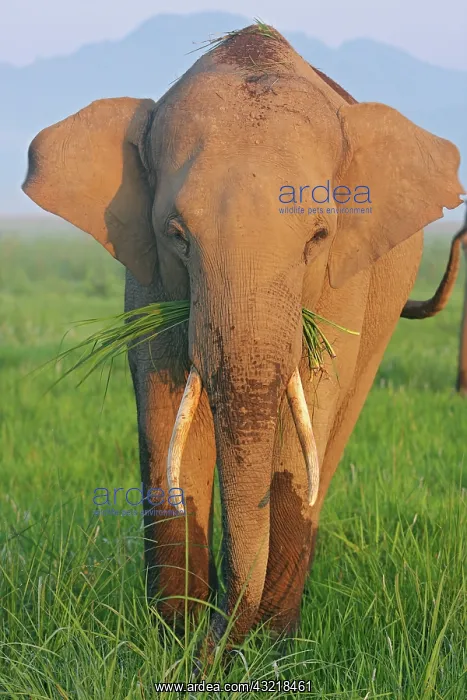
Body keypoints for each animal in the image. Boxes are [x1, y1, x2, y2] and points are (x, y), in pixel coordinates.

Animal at [22, 23, 465, 651]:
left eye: (318, 236)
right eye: (177, 234)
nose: (219, 645)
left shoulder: (340, 281)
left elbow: (307, 410)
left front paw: (269, 653)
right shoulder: (149, 275)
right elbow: (164, 414)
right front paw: (175, 642)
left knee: (329, 440)